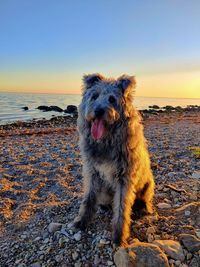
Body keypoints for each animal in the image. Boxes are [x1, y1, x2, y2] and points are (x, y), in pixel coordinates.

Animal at [73, 73, 155, 247]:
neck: (106, 140)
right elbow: (88, 198)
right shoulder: (92, 172)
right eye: (94, 96)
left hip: (148, 184)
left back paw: (144, 208)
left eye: (112, 99)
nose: (98, 111)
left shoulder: (125, 179)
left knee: (144, 199)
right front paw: (82, 220)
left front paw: (119, 236)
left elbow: (122, 209)